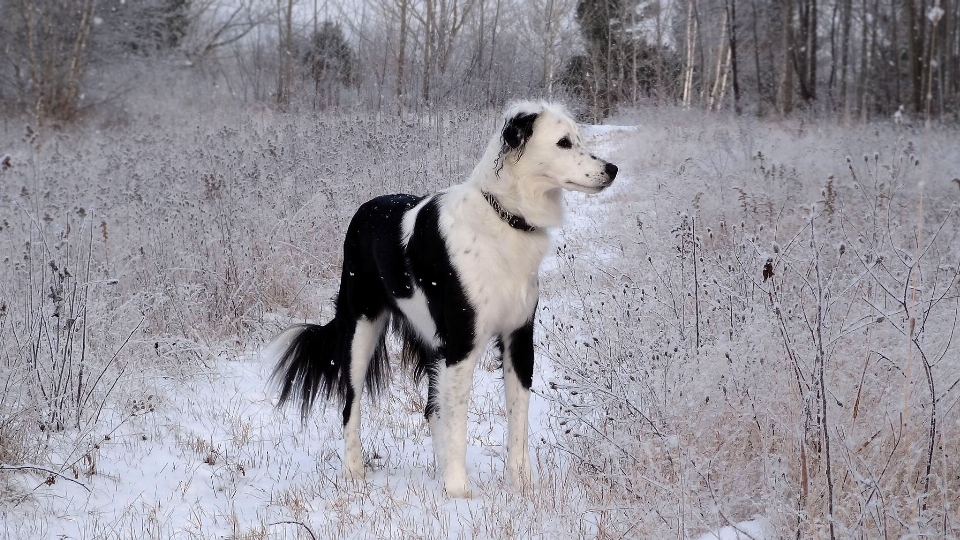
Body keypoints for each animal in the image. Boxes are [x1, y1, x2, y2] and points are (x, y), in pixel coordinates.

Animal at [266, 100, 620, 498]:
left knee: (431, 409)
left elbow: (517, 419)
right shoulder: (463, 344)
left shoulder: (518, 338)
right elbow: (458, 421)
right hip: (361, 330)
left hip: (432, 341)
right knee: (350, 405)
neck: (505, 217)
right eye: (563, 143)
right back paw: (354, 471)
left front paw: (522, 484)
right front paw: (458, 489)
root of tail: (365, 209)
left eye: (577, 138)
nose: (612, 169)